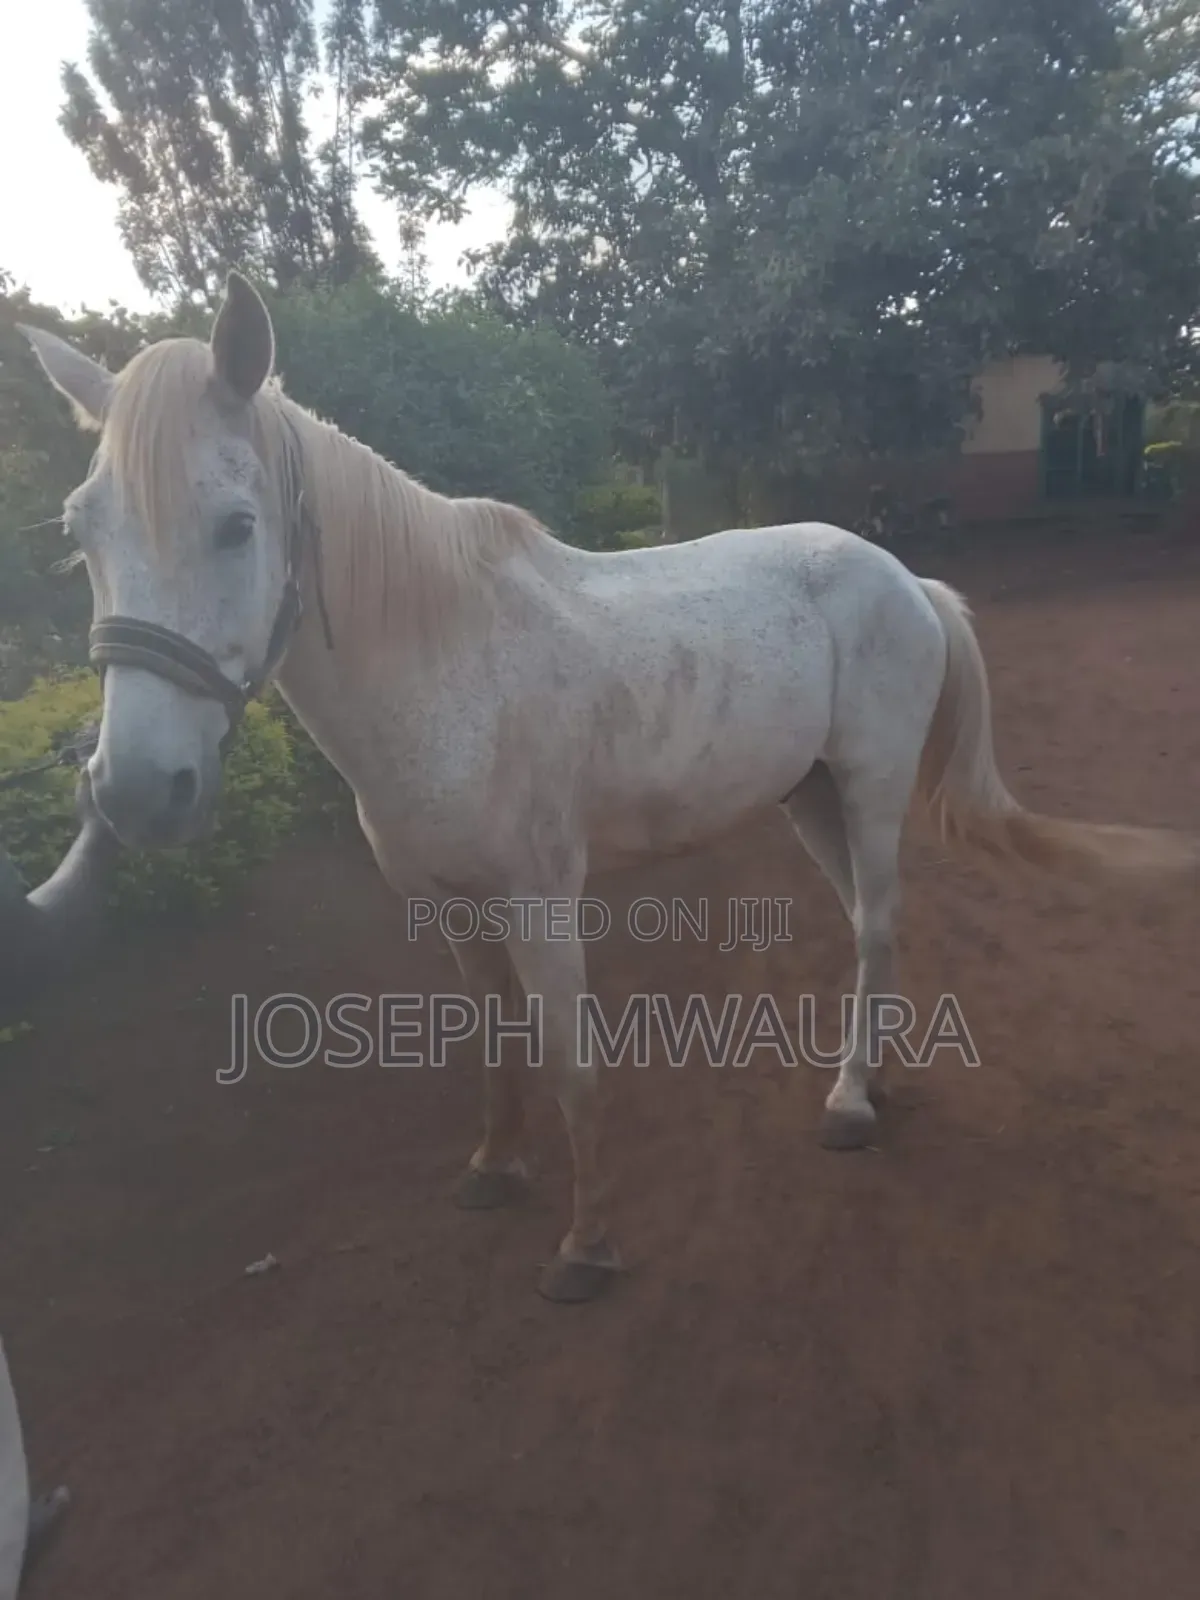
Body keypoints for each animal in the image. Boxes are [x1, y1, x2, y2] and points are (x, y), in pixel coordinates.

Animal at [10, 271, 1197, 1303]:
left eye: (236, 525)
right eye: (80, 531)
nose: (135, 790)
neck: (446, 663)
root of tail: (905, 575)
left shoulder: (542, 901)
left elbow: (572, 1062)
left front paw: (586, 1247)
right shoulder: (450, 907)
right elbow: (496, 1044)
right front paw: (494, 1170)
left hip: (867, 784)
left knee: (877, 925)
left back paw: (852, 1103)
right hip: (809, 795)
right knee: (869, 922)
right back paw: (877, 1080)